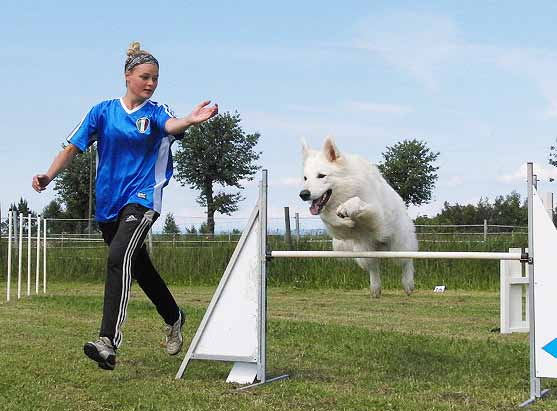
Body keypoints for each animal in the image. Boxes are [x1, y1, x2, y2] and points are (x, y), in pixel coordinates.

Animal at [300, 137, 416, 298]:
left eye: (321, 175)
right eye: (305, 178)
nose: (303, 194)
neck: (348, 188)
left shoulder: (376, 214)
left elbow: (356, 201)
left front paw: (346, 209)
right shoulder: (336, 228)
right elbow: (329, 218)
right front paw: (346, 220)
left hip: (399, 246)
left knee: (407, 261)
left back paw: (408, 284)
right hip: (363, 254)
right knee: (374, 268)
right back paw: (375, 289)